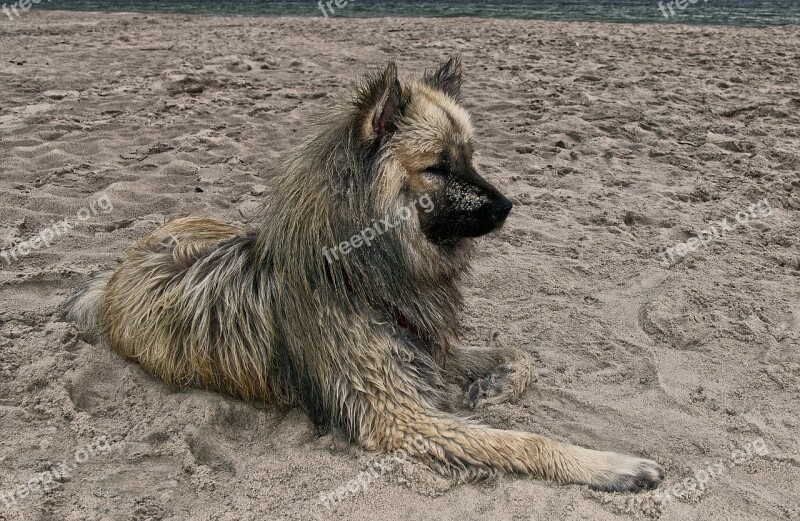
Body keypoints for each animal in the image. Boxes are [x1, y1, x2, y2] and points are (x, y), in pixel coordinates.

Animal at [61, 57, 664, 492]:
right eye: (438, 166)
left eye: (470, 157)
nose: (509, 206)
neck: (359, 269)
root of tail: (114, 273)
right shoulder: (399, 414)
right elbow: (524, 441)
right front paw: (613, 464)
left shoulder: (428, 348)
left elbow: (519, 354)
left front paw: (493, 387)